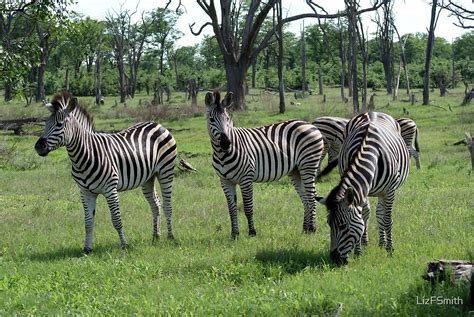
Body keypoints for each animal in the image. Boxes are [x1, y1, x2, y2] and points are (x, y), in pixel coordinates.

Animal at [34, 90, 177, 252]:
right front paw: (87, 248)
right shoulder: (85, 192)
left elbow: (116, 220)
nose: (38, 146)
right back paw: (156, 236)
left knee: (167, 205)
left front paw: (124, 245)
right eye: (45, 124)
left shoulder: (110, 189)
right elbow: (88, 221)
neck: (83, 156)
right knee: (155, 204)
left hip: (166, 172)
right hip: (148, 178)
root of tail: (157, 124)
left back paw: (171, 237)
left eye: (59, 124)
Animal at [206, 90, 324, 236]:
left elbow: (248, 207)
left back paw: (312, 228)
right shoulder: (225, 181)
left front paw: (252, 232)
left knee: (312, 196)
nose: (226, 143)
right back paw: (305, 228)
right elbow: (232, 209)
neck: (222, 154)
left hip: (308, 165)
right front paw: (234, 234)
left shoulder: (246, 178)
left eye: (228, 118)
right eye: (211, 119)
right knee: (306, 198)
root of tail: (310, 124)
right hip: (296, 170)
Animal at [316, 111, 410, 264]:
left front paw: (390, 250)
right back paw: (373, 243)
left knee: (381, 214)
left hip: (384, 191)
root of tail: (373, 112)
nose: (335, 259)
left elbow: (387, 219)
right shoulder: (362, 190)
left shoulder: (390, 191)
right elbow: (364, 215)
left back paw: (383, 243)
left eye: (342, 226)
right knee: (375, 212)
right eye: (329, 224)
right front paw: (359, 251)